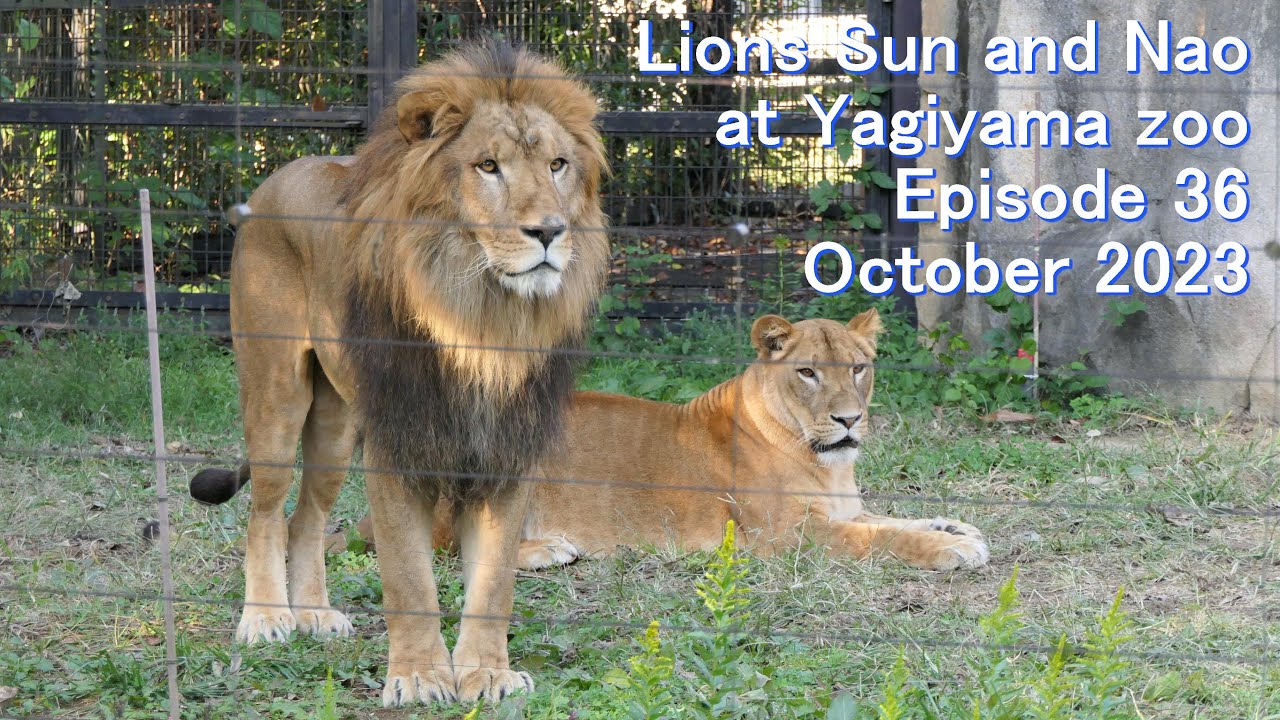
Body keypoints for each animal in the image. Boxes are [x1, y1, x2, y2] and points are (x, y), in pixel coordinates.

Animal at [189, 42, 609, 707]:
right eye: (488, 166)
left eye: (558, 165)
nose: (548, 230)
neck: (483, 318)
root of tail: (274, 180)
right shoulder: (397, 445)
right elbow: (410, 579)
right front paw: (417, 676)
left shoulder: (507, 448)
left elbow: (493, 583)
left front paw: (486, 673)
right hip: (278, 398)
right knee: (264, 513)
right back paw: (267, 619)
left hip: (336, 425)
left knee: (307, 518)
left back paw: (314, 614)